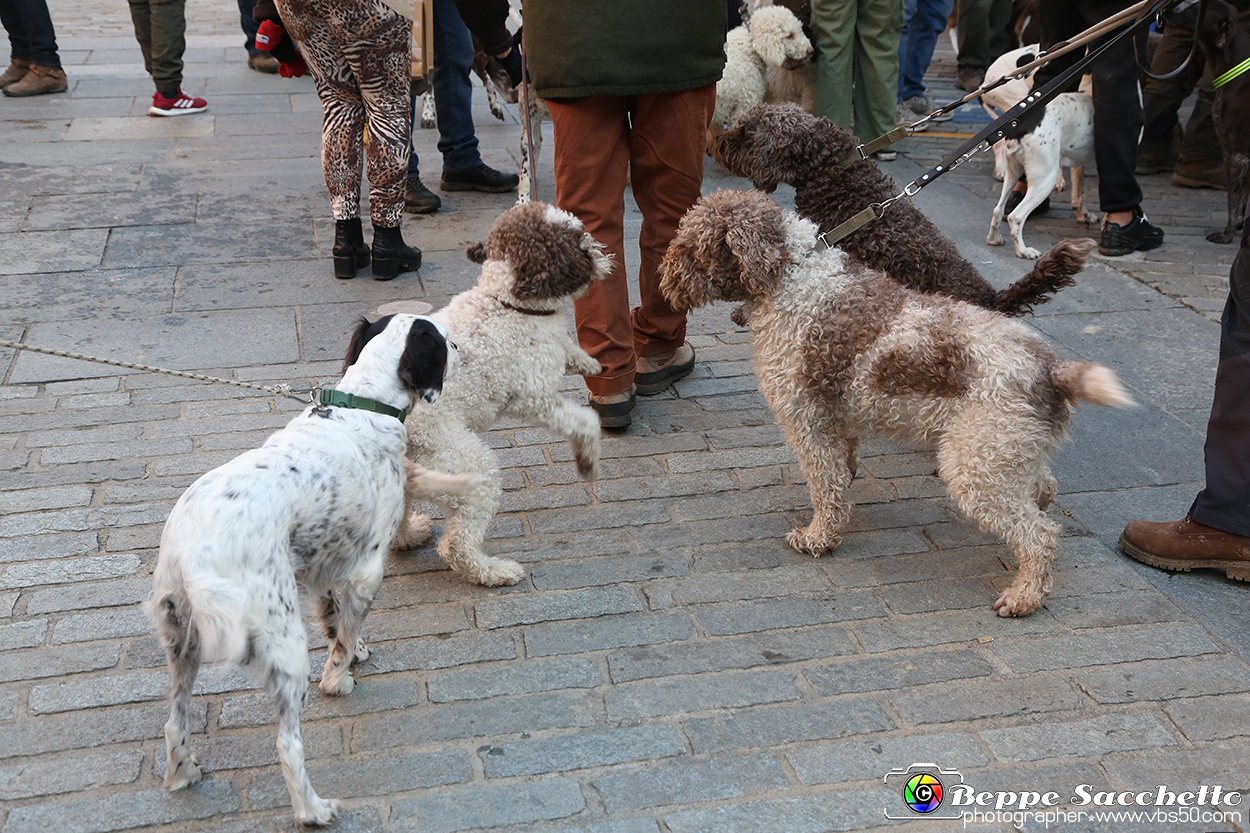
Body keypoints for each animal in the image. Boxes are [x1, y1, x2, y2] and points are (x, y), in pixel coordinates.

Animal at [146, 312, 475, 825]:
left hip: (181, 641)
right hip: (283, 642)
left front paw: (356, 649)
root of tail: (192, 552)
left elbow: (337, 621)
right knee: (287, 742)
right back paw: (313, 809)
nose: (463, 348)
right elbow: (342, 636)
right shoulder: (367, 569)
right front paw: (340, 679)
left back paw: (182, 774)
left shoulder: (322, 562)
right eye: (444, 341)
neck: (364, 406)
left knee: (173, 722)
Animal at [392, 200, 612, 582]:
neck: (505, 302)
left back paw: (410, 535)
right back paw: (493, 571)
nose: (602, 253)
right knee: (457, 546)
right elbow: (586, 421)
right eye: (577, 240)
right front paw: (587, 460)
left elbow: (567, 346)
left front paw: (587, 362)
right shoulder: (533, 398)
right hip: (465, 467)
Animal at [660, 190, 1140, 615]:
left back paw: (1024, 597)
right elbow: (841, 469)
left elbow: (825, 486)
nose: (663, 281)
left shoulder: (807, 420)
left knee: (1039, 535)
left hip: (975, 465)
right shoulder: (834, 418)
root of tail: (1051, 369)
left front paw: (819, 538)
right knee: (1043, 490)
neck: (792, 278)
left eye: (691, 245)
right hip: (1005, 451)